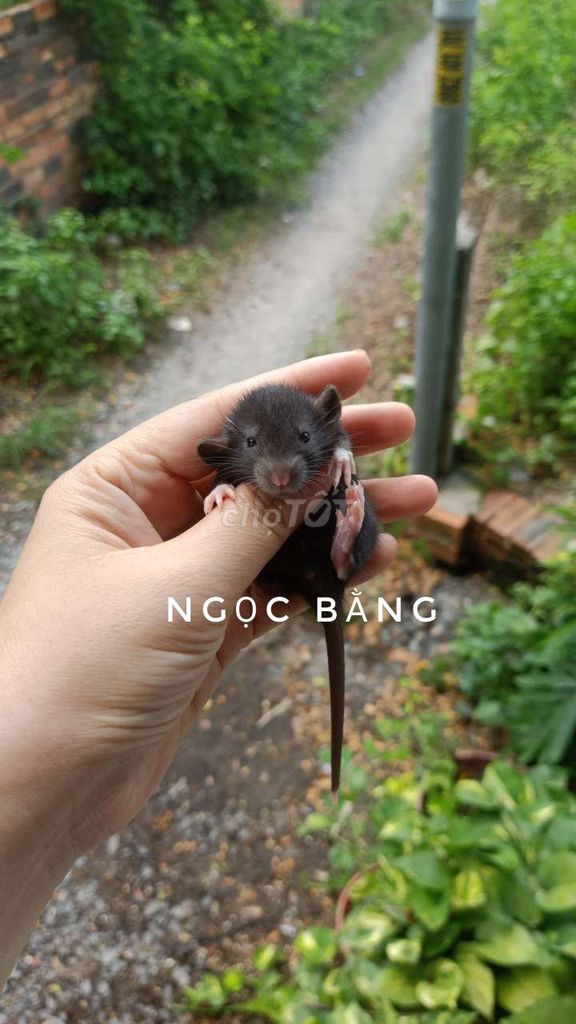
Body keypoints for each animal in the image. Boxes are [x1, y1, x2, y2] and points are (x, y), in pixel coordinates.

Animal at [198, 383, 379, 792]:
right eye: (251, 442)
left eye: (305, 435)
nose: (281, 480)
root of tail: (322, 588)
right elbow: (220, 476)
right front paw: (218, 494)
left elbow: (342, 439)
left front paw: (341, 458)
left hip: (364, 533)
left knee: (345, 559)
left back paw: (351, 521)